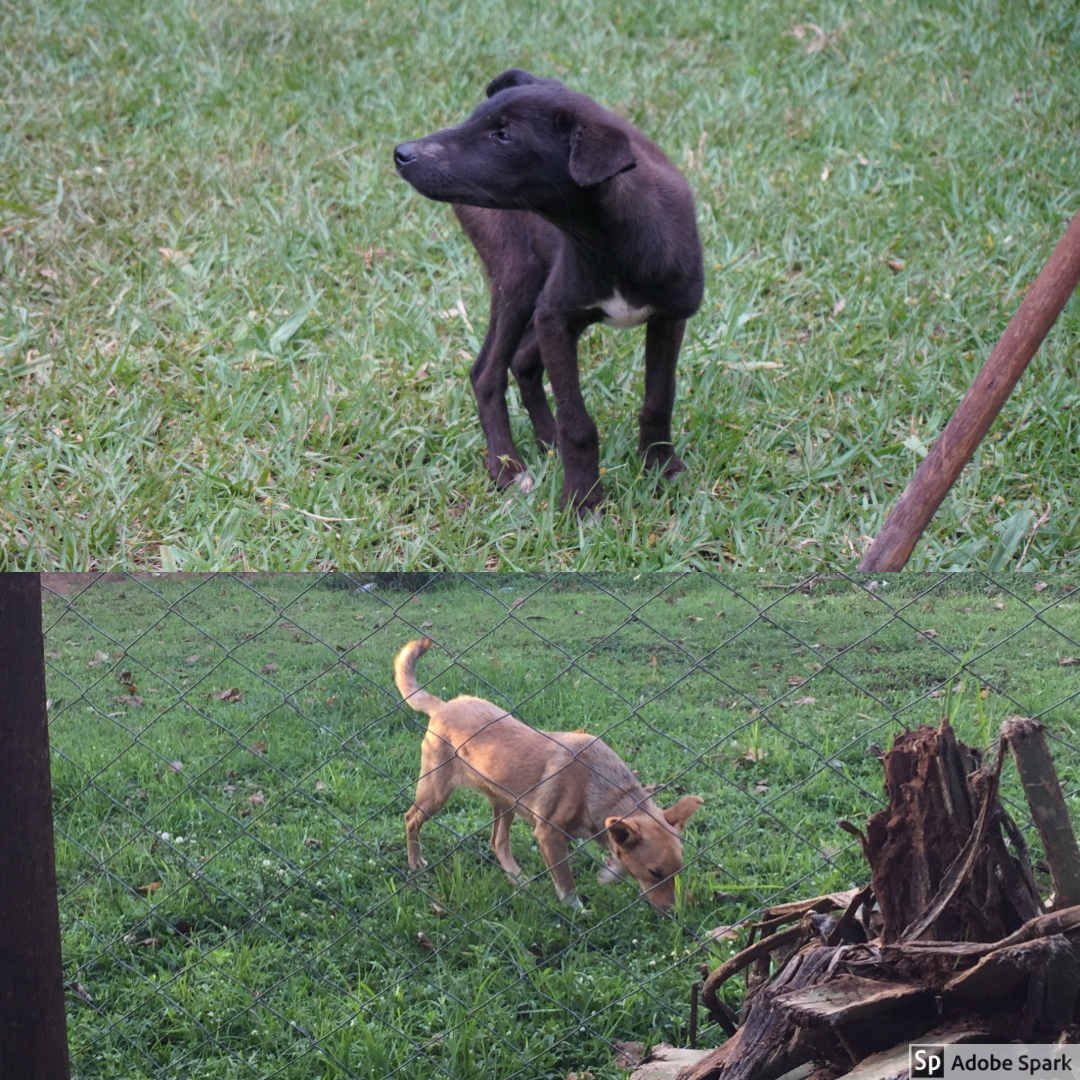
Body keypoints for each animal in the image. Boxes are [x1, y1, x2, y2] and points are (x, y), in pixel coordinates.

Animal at [393, 69, 704, 511]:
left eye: (503, 136)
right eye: (473, 120)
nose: (401, 153)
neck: (610, 237)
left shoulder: (669, 316)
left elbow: (660, 399)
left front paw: (660, 467)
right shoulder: (556, 317)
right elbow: (578, 422)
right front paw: (584, 499)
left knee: (521, 361)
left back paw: (546, 442)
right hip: (518, 277)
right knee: (486, 374)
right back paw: (507, 467)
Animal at [395, 639, 699, 911]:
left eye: (678, 871)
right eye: (655, 872)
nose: (674, 912)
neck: (601, 785)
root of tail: (443, 706)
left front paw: (611, 871)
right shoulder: (549, 835)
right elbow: (566, 882)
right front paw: (576, 909)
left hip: (505, 801)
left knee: (497, 842)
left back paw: (517, 878)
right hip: (436, 791)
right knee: (411, 819)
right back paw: (415, 862)